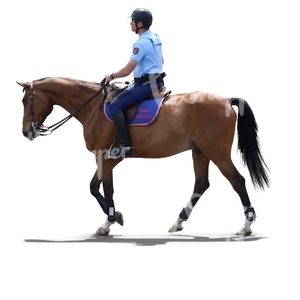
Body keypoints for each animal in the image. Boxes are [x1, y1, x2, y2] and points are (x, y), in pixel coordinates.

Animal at [17, 76, 270, 236]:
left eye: (25, 101)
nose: (26, 132)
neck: (93, 108)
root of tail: (226, 100)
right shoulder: (109, 158)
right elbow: (93, 187)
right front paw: (116, 216)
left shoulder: (104, 156)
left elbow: (106, 188)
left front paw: (109, 222)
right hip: (200, 151)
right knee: (201, 184)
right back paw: (178, 221)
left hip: (216, 152)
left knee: (237, 181)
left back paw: (247, 225)